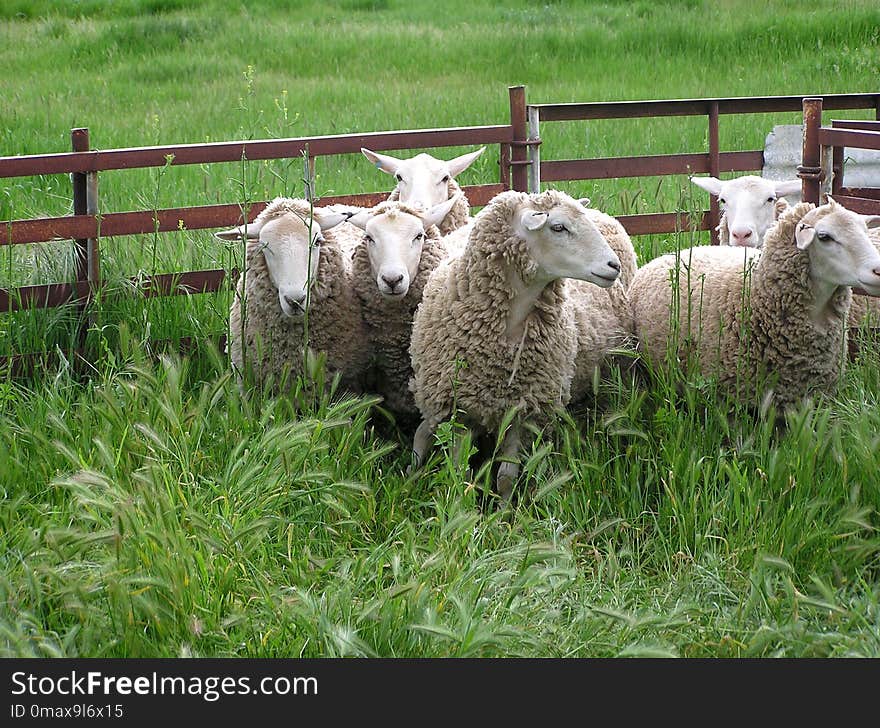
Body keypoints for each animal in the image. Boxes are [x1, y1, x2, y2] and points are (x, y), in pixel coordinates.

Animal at [410, 191, 628, 504]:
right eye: (558, 227)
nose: (613, 266)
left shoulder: (525, 411)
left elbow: (506, 477)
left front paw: (503, 513)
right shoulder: (459, 410)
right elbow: (459, 471)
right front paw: (459, 506)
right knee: (422, 431)